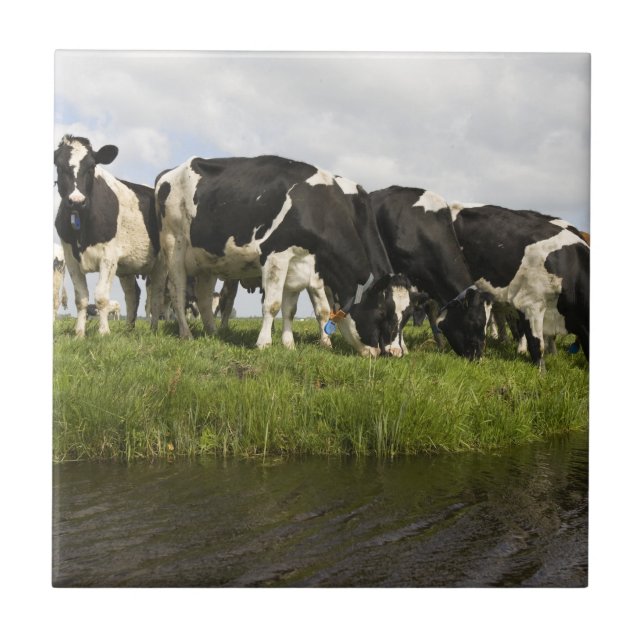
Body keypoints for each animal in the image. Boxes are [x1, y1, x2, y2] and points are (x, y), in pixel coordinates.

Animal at [53, 135, 166, 337]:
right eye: (59, 166)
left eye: (91, 166)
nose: (76, 201)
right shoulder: (70, 258)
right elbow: (81, 298)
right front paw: (79, 334)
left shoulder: (109, 257)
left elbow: (101, 297)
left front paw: (104, 332)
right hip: (127, 267)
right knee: (132, 294)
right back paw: (129, 329)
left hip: (160, 263)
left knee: (156, 296)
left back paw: (153, 329)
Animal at [155, 155, 413, 357]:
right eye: (382, 312)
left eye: (408, 315)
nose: (391, 353)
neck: (313, 207)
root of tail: (169, 172)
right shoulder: (276, 255)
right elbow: (273, 304)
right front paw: (264, 343)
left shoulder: (300, 263)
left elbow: (291, 308)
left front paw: (289, 344)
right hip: (174, 244)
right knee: (178, 293)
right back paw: (186, 334)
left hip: (208, 259)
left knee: (205, 298)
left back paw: (212, 332)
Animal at [370, 187, 494, 360]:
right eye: (474, 321)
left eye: (487, 324)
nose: (478, 357)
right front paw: (402, 347)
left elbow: (430, 309)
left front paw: (440, 344)